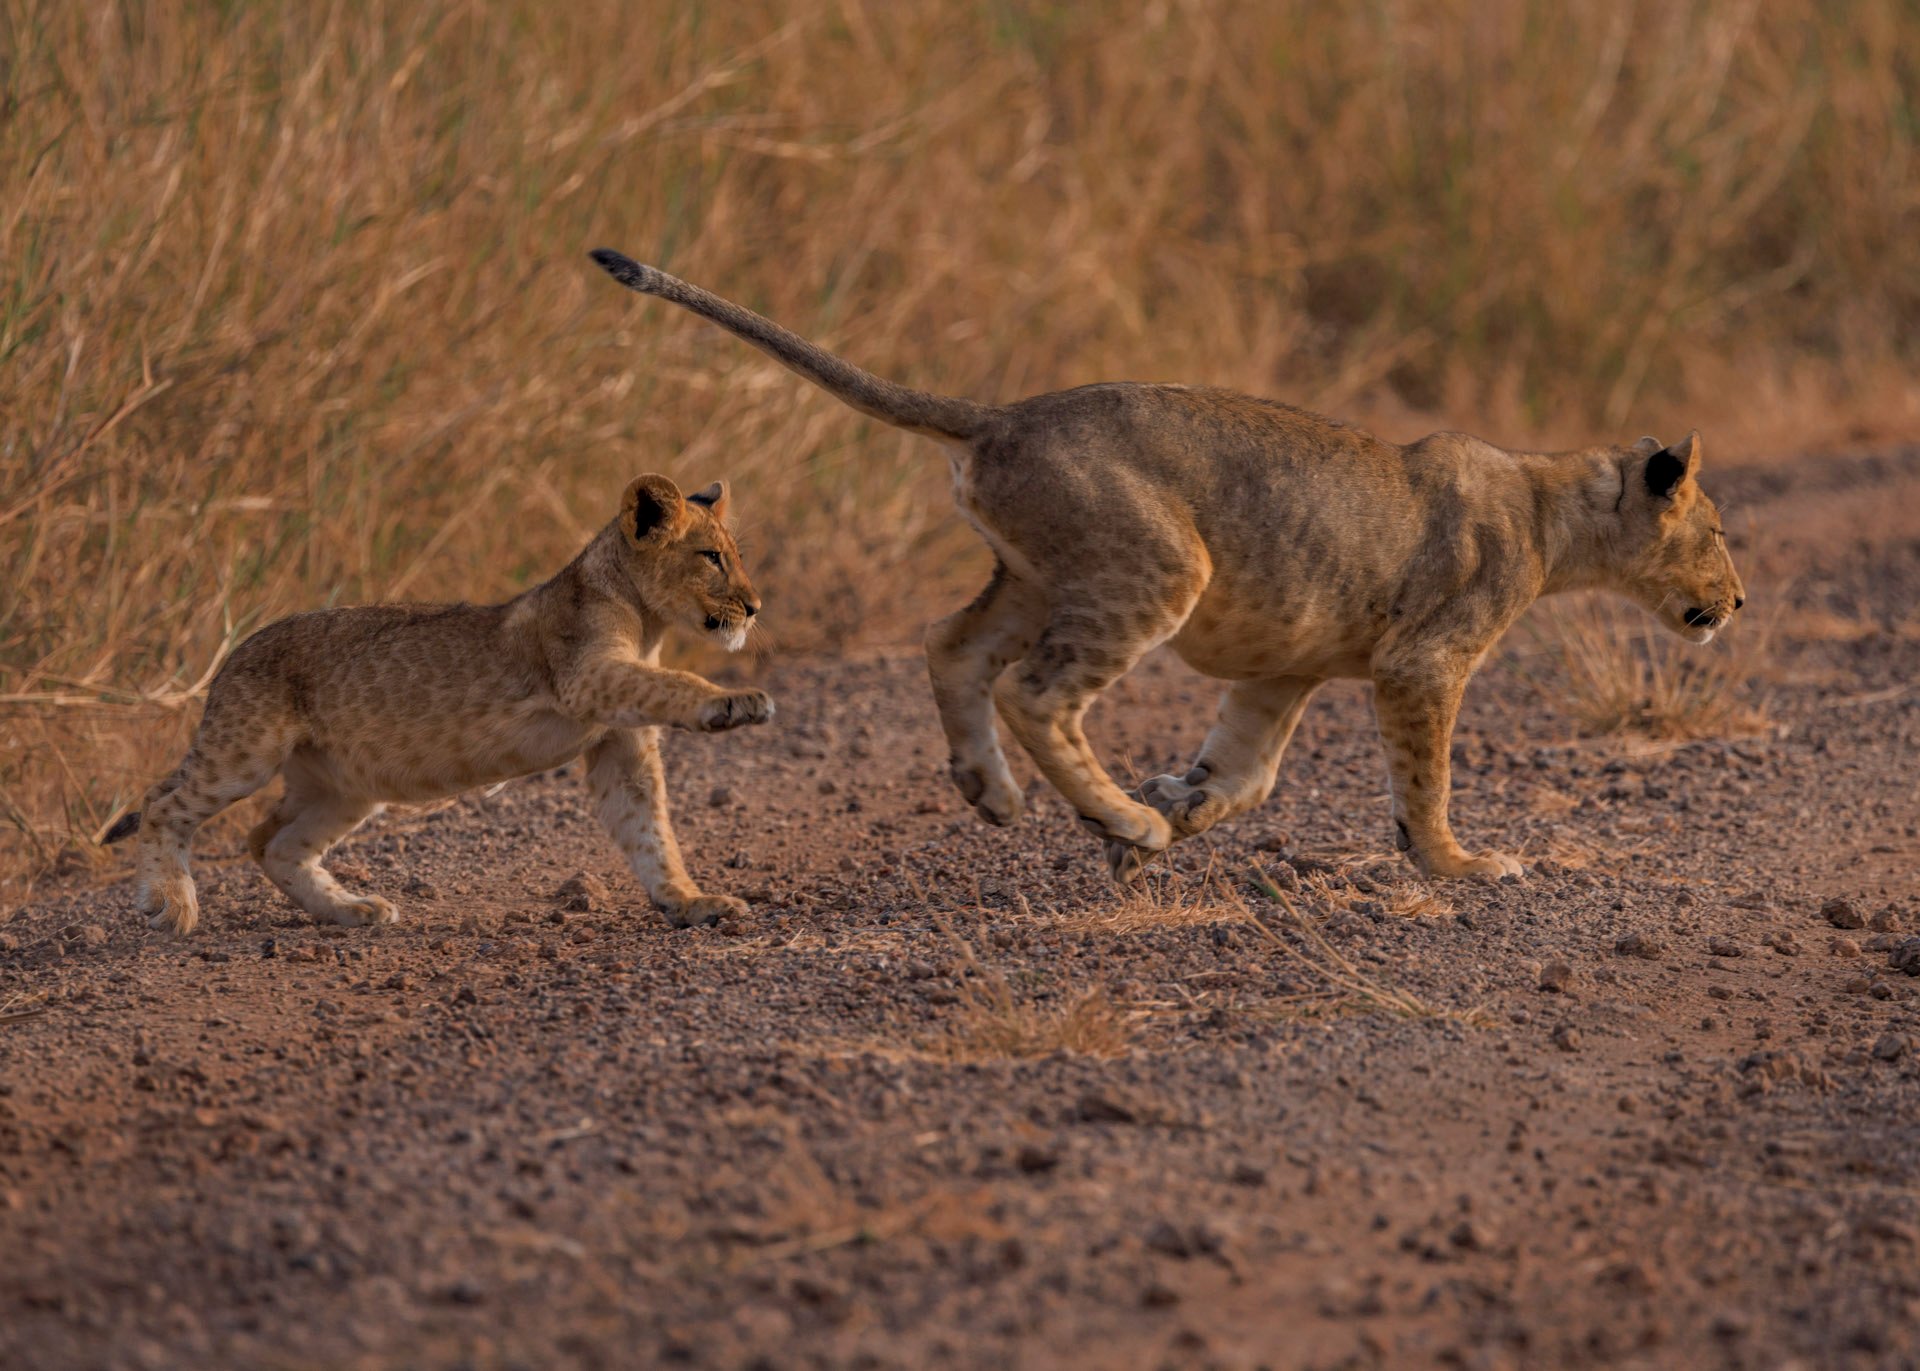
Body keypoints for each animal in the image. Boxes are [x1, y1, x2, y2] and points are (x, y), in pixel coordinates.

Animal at [108, 474, 772, 935]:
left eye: (735, 553)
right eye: (711, 557)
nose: (755, 607)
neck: (647, 621)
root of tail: (232, 655)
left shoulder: (620, 742)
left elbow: (650, 830)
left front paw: (689, 902)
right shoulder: (587, 678)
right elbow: (676, 685)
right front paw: (735, 702)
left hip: (343, 786)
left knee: (269, 840)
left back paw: (350, 909)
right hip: (245, 749)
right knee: (162, 801)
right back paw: (169, 903)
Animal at [589, 248, 1746, 882]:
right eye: (1722, 530)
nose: (1737, 599)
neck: (1554, 508)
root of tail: (1003, 413)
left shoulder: (1286, 669)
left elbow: (1246, 774)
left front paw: (1179, 810)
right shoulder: (1423, 663)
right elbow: (1426, 780)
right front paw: (1461, 863)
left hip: (1042, 573)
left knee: (951, 646)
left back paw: (999, 795)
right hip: (1154, 564)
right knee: (1036, 690)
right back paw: (1113, 814)